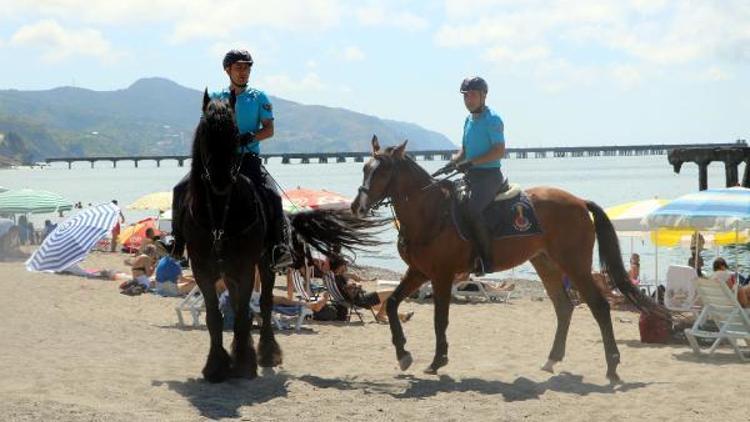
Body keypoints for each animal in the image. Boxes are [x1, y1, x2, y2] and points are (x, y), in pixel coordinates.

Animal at [179, 90, 384, 382]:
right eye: (206, 130)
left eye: (235, 132)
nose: (220, 180)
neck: (220, 211)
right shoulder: (202, 268)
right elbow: (214, 316)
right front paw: (216, 365)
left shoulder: (244, 265)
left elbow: (244, 312)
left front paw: (244, 364)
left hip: (264, 264)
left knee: (264, 305)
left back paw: (266, 353)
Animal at [352, 137, 668, 384]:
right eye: (365, 168)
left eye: (383, 171)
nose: (358, 206)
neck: (430, 212)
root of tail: (579, 201)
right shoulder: (418, 271)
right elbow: (392, 304)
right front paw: (403, 353)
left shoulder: (441, 275)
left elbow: (440, 318)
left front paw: (437, 360)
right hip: (547, 264)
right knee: (564, 307)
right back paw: (552, 359)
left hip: (574, 265)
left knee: (599, 307)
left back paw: (612, 367)